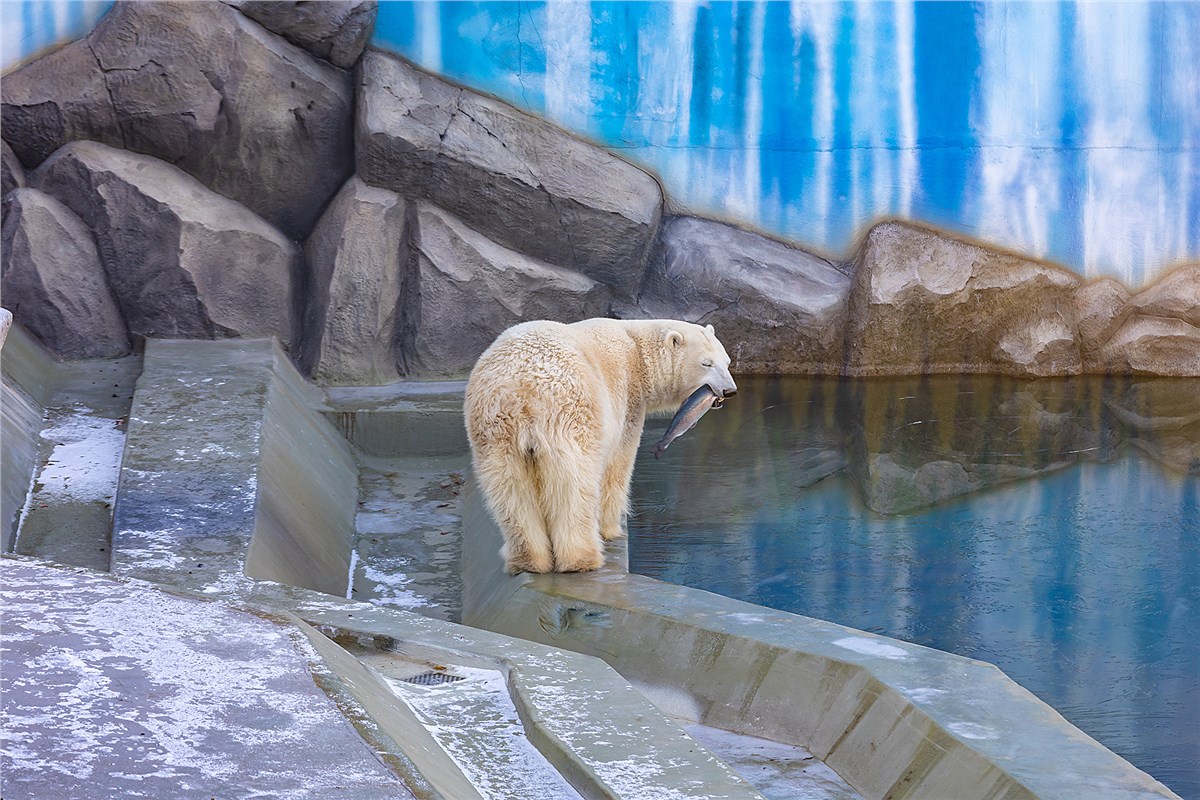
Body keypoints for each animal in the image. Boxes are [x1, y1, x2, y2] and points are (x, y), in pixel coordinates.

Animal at [463, 319, 734, 575]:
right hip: (569, 414)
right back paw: (582, 558)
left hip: (495, 431)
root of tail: (523, 391)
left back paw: (528, 561)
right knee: (574, 483)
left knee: (510, 489)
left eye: (728, 362)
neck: (637, 347)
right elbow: (617, 466)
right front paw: (612, 528)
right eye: (706, 364)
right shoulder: (627, 399)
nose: (729, 390)